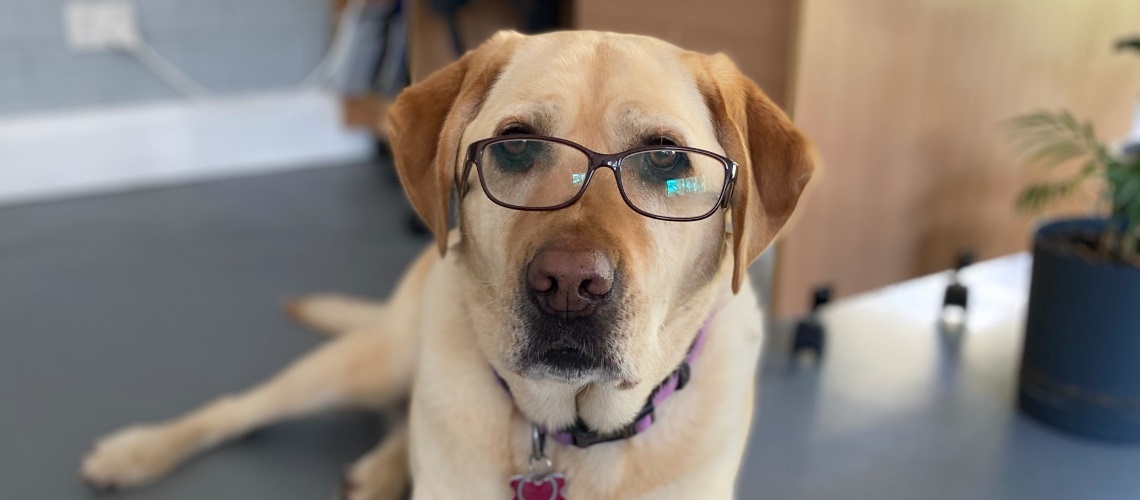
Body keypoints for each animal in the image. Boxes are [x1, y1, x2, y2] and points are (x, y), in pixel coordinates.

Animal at [78, 31, 811, 500]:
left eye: (664, 158)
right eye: (515, 146)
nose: (569, 288)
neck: (566, 432)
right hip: (376, 359)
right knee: (243, 406)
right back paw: (136, 452)